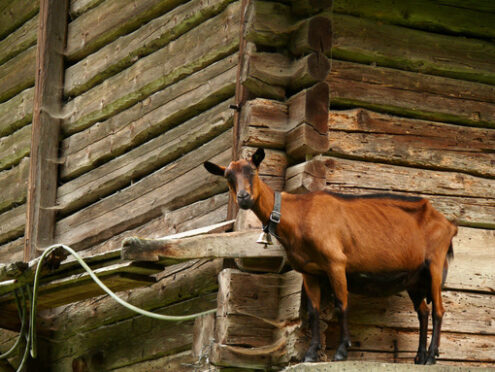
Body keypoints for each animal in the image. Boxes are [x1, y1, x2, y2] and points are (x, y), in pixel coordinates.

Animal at [204, 148, 458, 364]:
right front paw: (310, 354)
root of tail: (449, 225)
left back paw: (431, 356)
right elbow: (314, 311)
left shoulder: (336, 262)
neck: (298, 214)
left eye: (252, 170)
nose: (244, 197)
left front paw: (341, 351)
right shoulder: (309, 271)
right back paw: (419, 357)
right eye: (228, 177)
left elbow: (341, 303)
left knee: (438, 310)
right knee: (423, 311)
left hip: (435, 263)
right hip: (415, 278)